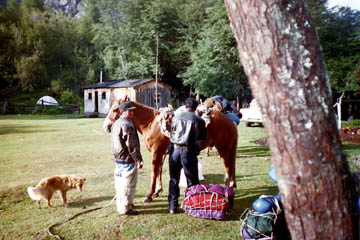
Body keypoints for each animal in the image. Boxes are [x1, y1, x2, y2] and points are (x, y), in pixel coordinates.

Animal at [103, 96, 239, 202]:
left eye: (115, 109)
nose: (106, 126)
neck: (151, 124)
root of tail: (230, 121)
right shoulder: (162, 153)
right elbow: (159, 171)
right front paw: (157, 191)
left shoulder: (156, 152)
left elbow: (154, 172)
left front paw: (149, 195)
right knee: (231, 167)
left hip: (223, 149)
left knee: (228, 168)